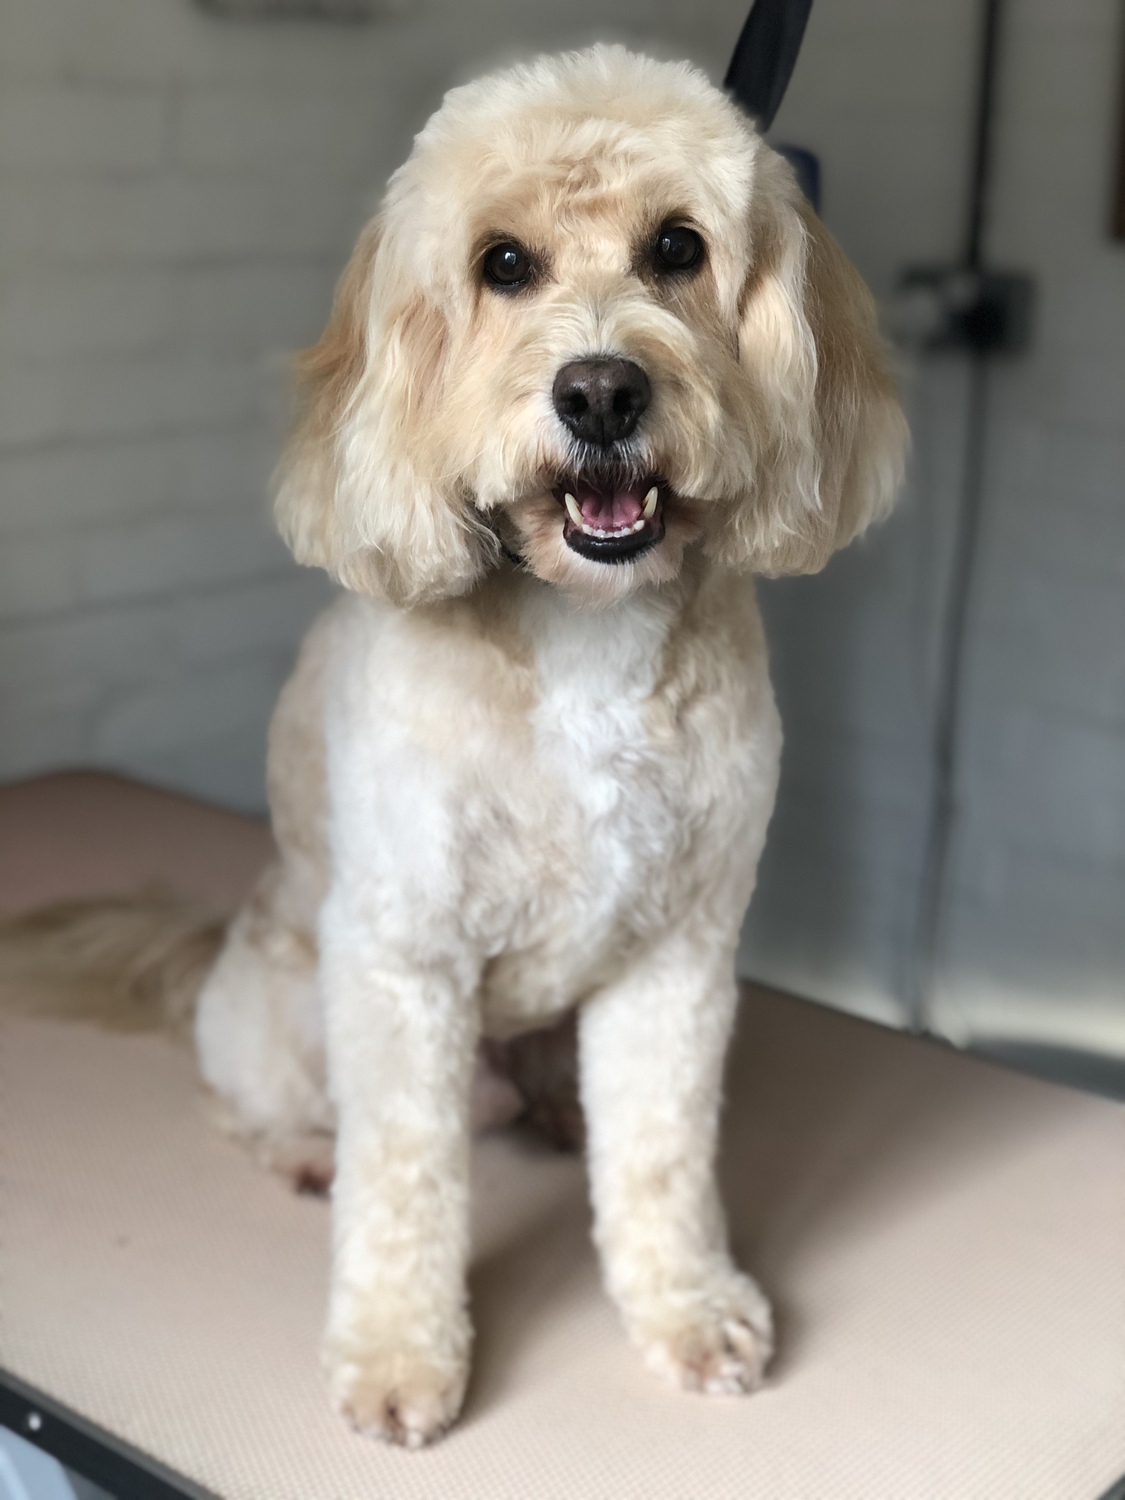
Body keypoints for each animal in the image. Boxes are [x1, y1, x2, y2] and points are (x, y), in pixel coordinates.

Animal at [5, 45, 906, 1447]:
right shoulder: (404, 959)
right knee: (249, 1101)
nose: (602, 390)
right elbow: (405, 1180)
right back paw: (300, 1148)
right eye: (504, 264)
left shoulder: (679, 954)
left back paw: (556, 1106)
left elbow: (663, 1156)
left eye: (679, 247)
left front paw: (687, 1308)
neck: (585, 625)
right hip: (285, 1006)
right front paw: (396, 1356)